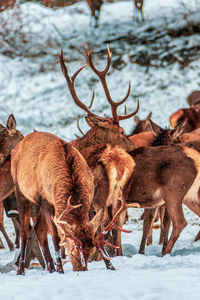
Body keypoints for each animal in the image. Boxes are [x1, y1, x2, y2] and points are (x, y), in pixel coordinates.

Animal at [60, 43, 140, 256]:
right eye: (122, 131)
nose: (135, 146)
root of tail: (115, 161)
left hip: (98, 196)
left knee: (104, 222)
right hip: (120, 196)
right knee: (117, 222)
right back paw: (116, 254)